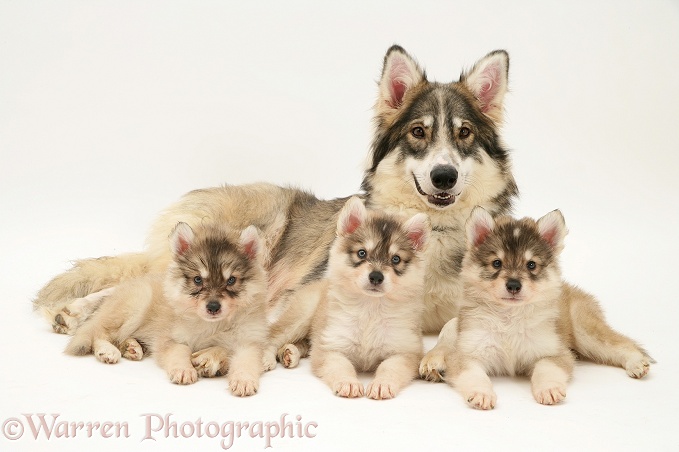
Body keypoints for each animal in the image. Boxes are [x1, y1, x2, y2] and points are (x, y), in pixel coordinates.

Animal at [34, 46, 516, 370]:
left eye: (464, 133)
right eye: (419, 132)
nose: (443, 176)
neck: (431, 229)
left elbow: (454, 327)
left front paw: (437, 357)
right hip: (254, 237)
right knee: (133, 285)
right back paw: (72, 312)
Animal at [65, 222, 268, 396]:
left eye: (231, 280)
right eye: (197, 280)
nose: (213, 307)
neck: (212, 325)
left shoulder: (248, 343)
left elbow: (245, 363)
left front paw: (243, 381)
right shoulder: (172, 339)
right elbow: (180, 352)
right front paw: (184, 370)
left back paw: (132, 347)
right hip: (136, 306)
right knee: (100, 332)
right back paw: (108, 351)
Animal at [310, 198, 428, 400]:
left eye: (396, 259)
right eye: (362, 253)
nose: (376, 277)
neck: (370, 308)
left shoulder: (404, 351)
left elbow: (389, 367)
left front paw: (382, 384)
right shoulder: (330, 347)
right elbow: (341, 365)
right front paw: (348, 383)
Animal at [440, 208, 652, 410]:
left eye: (531, 264)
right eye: (497, 263)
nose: (514, 285)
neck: (509, 318)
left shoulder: (553, 352)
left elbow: (545, 368)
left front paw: (549, 389)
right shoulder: (467, 354)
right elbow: (475, 375)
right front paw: (481, 394)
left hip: (586, 332)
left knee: (622, 343)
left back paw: (636, 363)